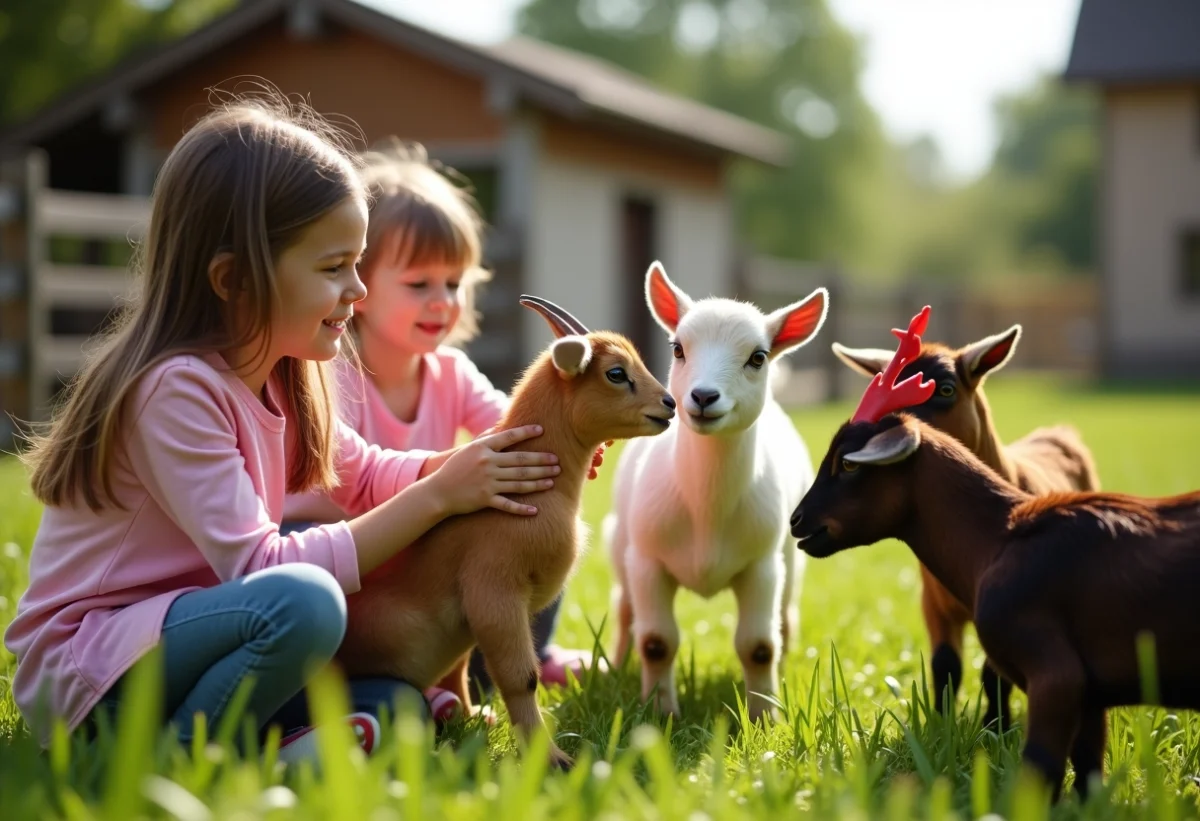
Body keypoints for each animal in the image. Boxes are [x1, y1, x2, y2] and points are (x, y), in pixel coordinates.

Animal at [338, 296, 676, 768]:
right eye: (615, 373)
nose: (669, 404)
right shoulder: (494, 590)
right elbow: (521, 677)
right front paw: (551, 759)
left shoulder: (471, 618)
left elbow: (460, 669)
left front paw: (468, 719)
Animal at [609, 261, 825, 720]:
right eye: (677, 349)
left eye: (758, 357)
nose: (704, 396)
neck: (706, 507)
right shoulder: (647, 561)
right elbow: (656, 642)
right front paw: (661, 713)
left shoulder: (762, 565)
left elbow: (758, 646)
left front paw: (765, 716)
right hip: (619, 543)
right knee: (623, 610)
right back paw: (614, 667)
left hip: (789, 560)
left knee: (786, 616)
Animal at [835, 326, 1099, 724]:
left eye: (946, 389)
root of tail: (1057, 432)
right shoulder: (932, 601)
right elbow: (945, 665)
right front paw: (941, 721)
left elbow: (994, 674)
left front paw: (996, 724)